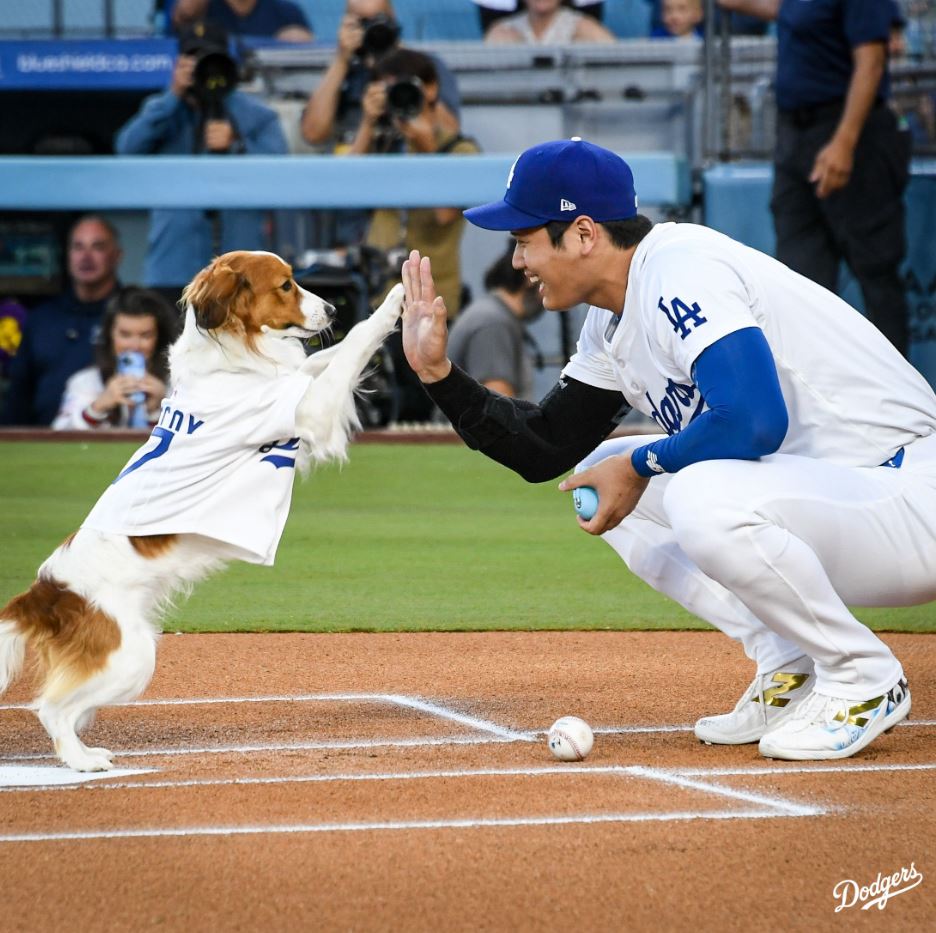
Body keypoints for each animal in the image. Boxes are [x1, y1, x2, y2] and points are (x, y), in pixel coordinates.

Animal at [0, 249, 402, 772]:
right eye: (287, 285)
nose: (334, 309)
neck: (231, 359)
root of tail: (43, 592)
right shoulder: (308, 409)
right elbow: (352, 345)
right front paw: (396, 299)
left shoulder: (295, 387)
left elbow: (319, 359)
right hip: (132, 656)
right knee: (51, 708)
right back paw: (83, 762)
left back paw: (84, 750)